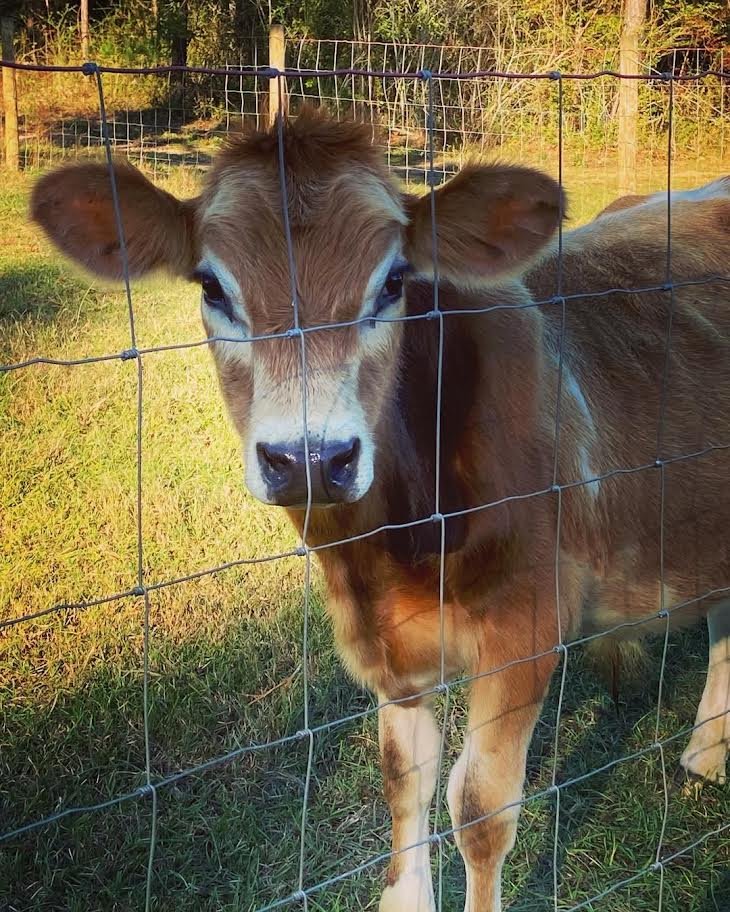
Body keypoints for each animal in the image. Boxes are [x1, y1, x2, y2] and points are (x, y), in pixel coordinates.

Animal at [31, 109, 730, 912]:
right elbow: (406, 778)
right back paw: (707, 750)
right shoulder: (383, 645)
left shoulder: (526, 627)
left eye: (395, 282)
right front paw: (405, 894)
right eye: (211, 285)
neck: (397, 544)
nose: (309, 456)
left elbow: (480, 808)